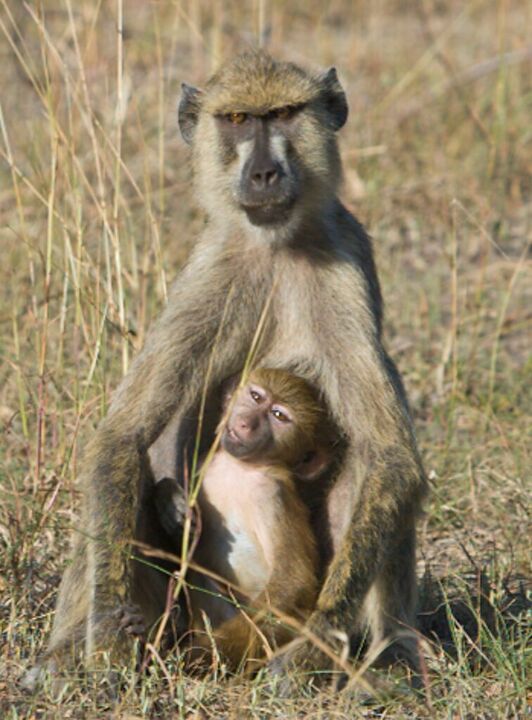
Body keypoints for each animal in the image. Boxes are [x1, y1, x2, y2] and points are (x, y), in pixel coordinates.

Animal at [147, 368, 334, 669]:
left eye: (279, 416)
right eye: (256, 396)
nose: (246, 423)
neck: (238, 468)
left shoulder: (272, 496)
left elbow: (292, 584)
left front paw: (193, 657)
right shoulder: (204, 466)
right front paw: (172, 504)